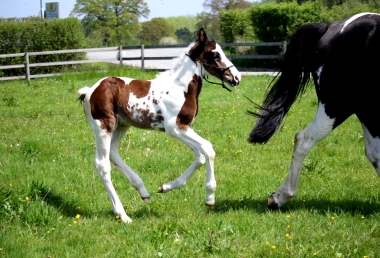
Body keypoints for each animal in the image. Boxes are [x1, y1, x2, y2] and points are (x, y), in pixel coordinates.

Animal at [77, 27, 240, 222]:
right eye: (215, 54)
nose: (236, 77)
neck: (180, 88)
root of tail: (90, 91)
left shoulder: (186, 127)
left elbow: (200, 156)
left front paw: (166, 187)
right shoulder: (175, 128)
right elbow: (208, 149)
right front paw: (210, 198)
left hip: (121, 125)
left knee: (113, 153)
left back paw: (143, 191)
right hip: (104, 126)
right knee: (102, 165)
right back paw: (123, 215)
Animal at [249, 13, 380, 209]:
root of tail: (332, 26)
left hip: (365, 108)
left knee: (374, 153)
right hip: (337, 105)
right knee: (303, 139)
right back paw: (281, 196)